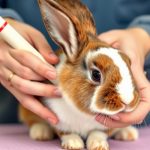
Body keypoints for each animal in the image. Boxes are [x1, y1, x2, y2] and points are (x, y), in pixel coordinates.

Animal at [19, 0, 140, 149]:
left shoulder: (104, 128)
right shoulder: (57, 119)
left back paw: (128, 133)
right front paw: (73, 143)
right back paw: (40, 132)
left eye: (129, 62)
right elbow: (66, 132)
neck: (83, 114)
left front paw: (98, 145)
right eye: (96, 74)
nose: (128, 101)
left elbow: (98, 133)